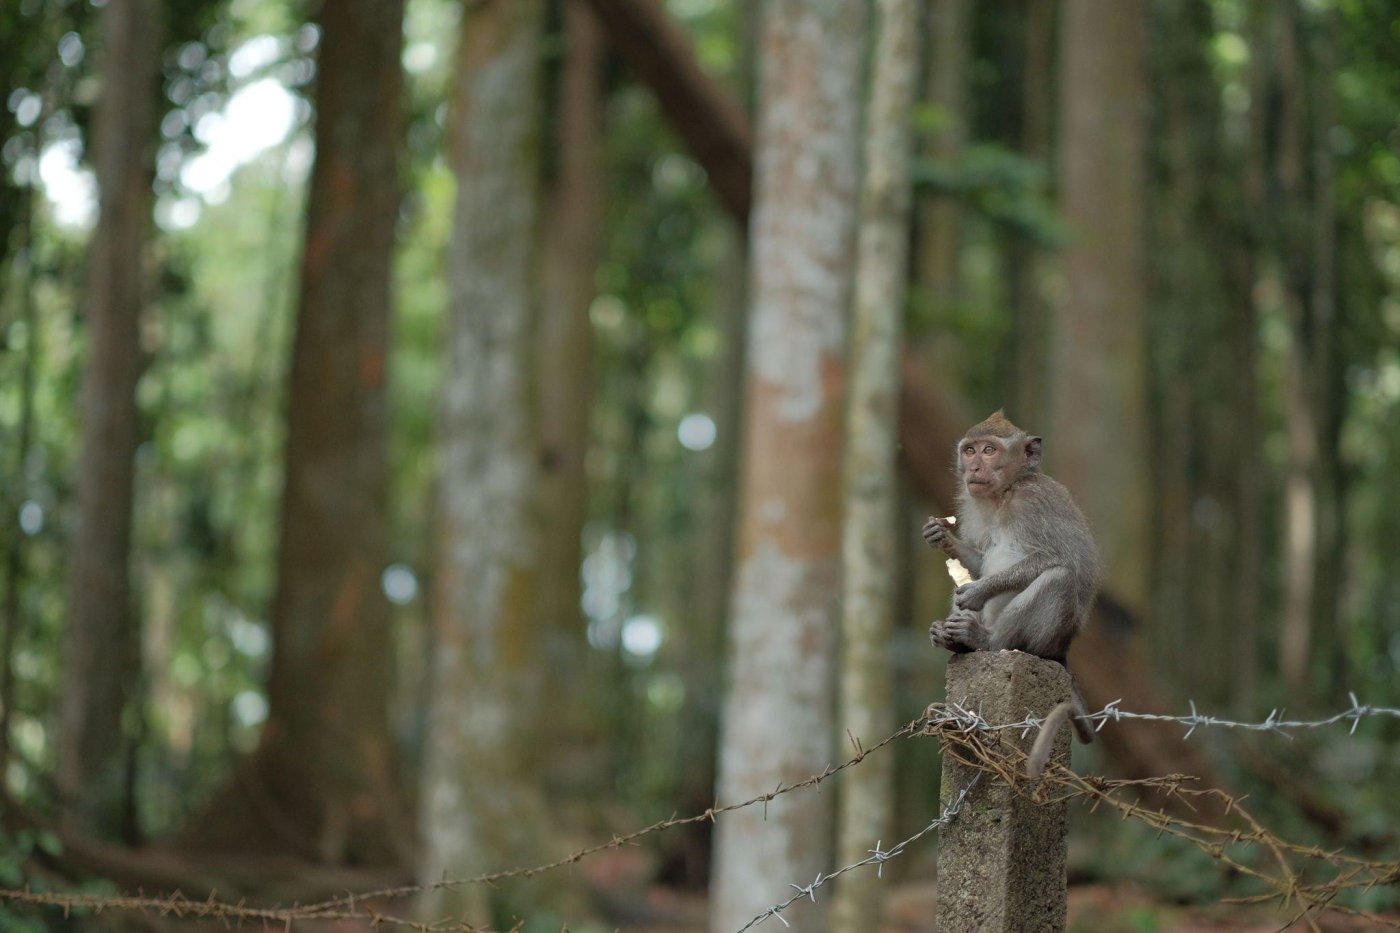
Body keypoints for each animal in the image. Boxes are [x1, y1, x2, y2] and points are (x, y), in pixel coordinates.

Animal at [918, 406, 1103, 739]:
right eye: (970, 450)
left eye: (989, 450)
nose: (974, 467)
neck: (1005, 492)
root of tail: (1063, 653)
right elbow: (978, 563)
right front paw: (941, 537)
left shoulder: (1033, 502)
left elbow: (1062, 559)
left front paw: (979, 591)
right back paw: (953, 638)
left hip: (1048, 641)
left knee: (1059, 578)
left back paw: (984, 640)